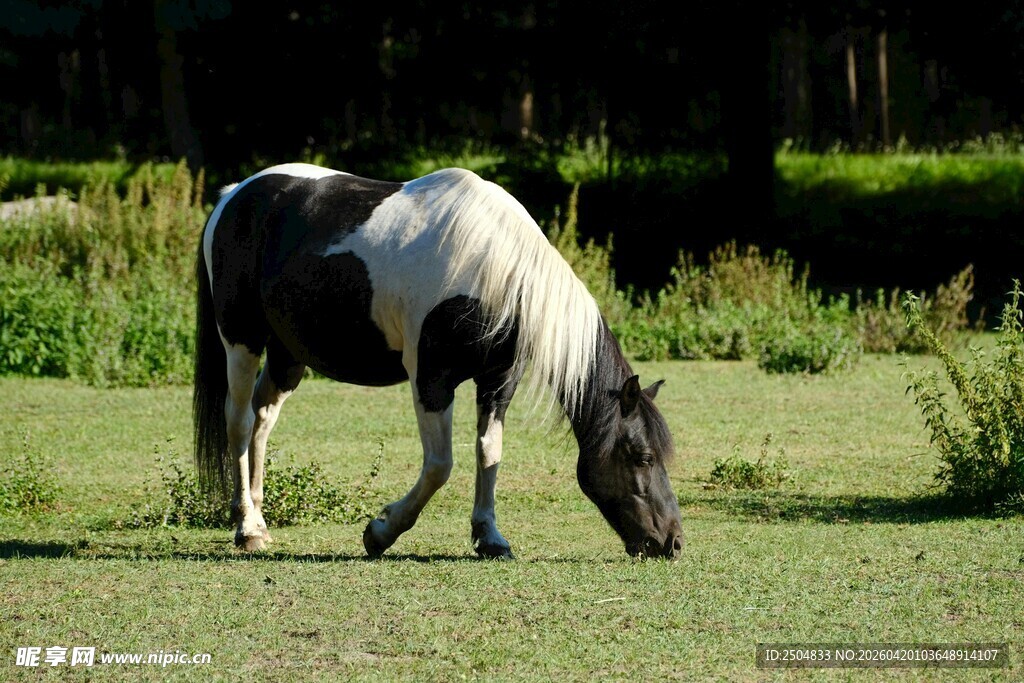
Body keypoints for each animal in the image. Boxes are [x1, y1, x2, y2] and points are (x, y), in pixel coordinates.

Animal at [193, 162, 683, 559]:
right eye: (641, 457)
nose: (672, 542)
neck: (496, 269)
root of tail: (234, 194)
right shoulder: (430, 379)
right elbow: (440, 465)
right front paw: (381, 532)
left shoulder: (498, 381)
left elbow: (489, 452)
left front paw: (490, 537)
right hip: (241, 341)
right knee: (238, 421)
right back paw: (247, 526)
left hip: (288, 355)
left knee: (262, 419)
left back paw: (259, 519)